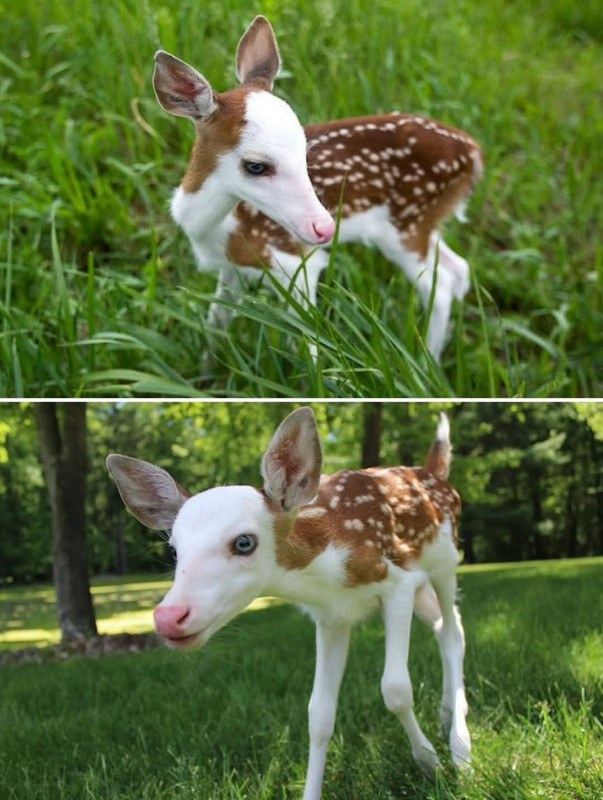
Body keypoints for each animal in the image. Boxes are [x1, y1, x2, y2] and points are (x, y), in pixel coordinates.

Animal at [107, 407, 471, 800]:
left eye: (244, 542)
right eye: (174, 550)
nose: (168, 617)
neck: (329, 563)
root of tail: (434, 473)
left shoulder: (398, 582)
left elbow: (395, 689)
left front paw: (430, 764)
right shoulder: (332, 616)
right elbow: (319, 714)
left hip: (446, 561)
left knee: (454, 633)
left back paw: (461, 750)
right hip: (423, 584)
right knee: (443, 626)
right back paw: (447, 716)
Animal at [153, 16, 483, 361]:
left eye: (304, 150)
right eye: (255, 166)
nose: (325, 228)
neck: (216, 229)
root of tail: (474, 153)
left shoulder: (296, 263)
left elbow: (308, 343)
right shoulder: (233, 266)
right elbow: (216, 322)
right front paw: (208, 367)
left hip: (406, 226)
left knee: (441, 285)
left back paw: (426, 361)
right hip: (423, 223)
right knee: (458, 269)